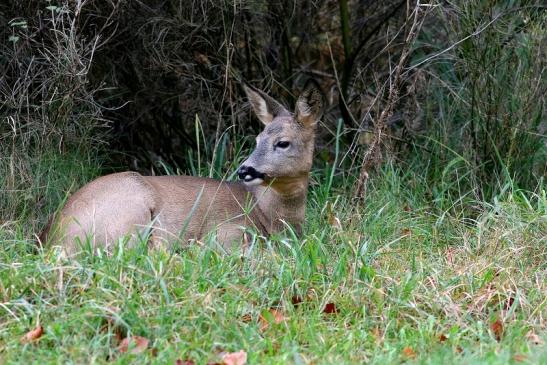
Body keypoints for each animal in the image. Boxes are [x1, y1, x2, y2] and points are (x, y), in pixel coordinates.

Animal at [41, 82, 326, 256]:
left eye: (283, 142)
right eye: (257, 140)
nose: (245, 170)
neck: (270, 215)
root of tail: (52, 238)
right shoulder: (225, 230)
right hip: (130, 211)